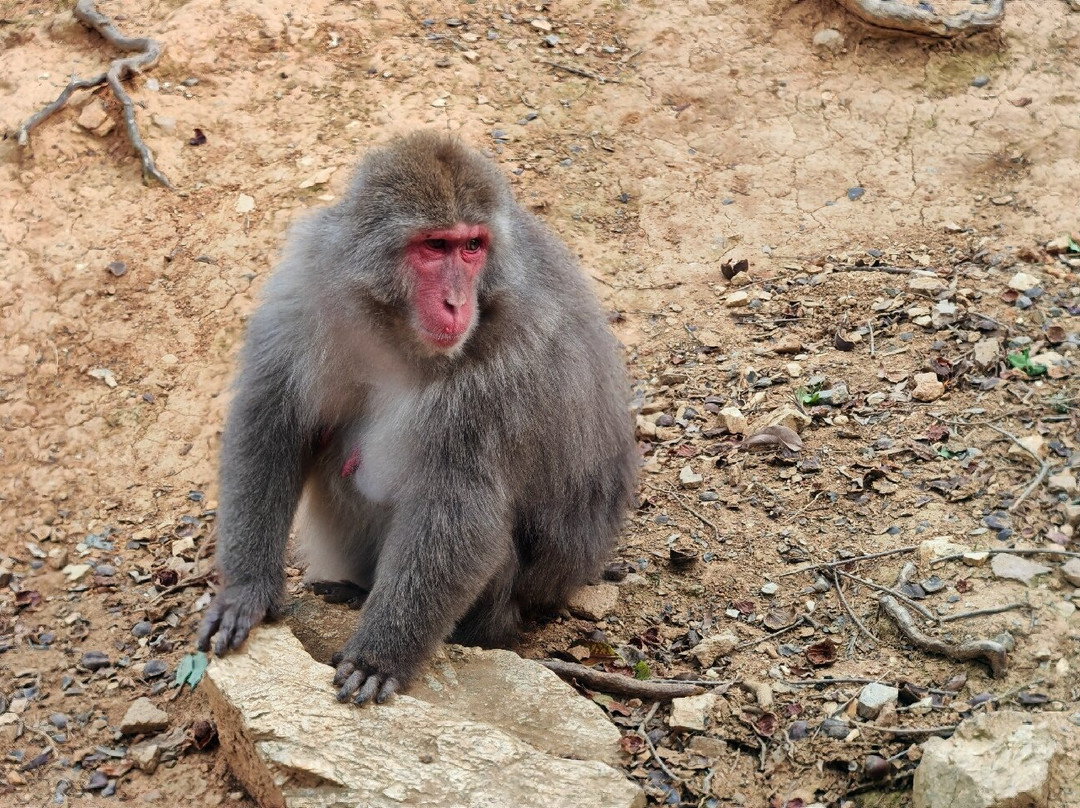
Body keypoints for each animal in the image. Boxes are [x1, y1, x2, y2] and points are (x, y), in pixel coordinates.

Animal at [196, 132, 638, 706]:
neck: (397, 330)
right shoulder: (308, 288)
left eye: (472, 247)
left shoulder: (511, 365)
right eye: (434, 246)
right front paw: (246, 591)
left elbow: (459, 505)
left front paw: (381, 656)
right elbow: (273, 426)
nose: (455, 304)